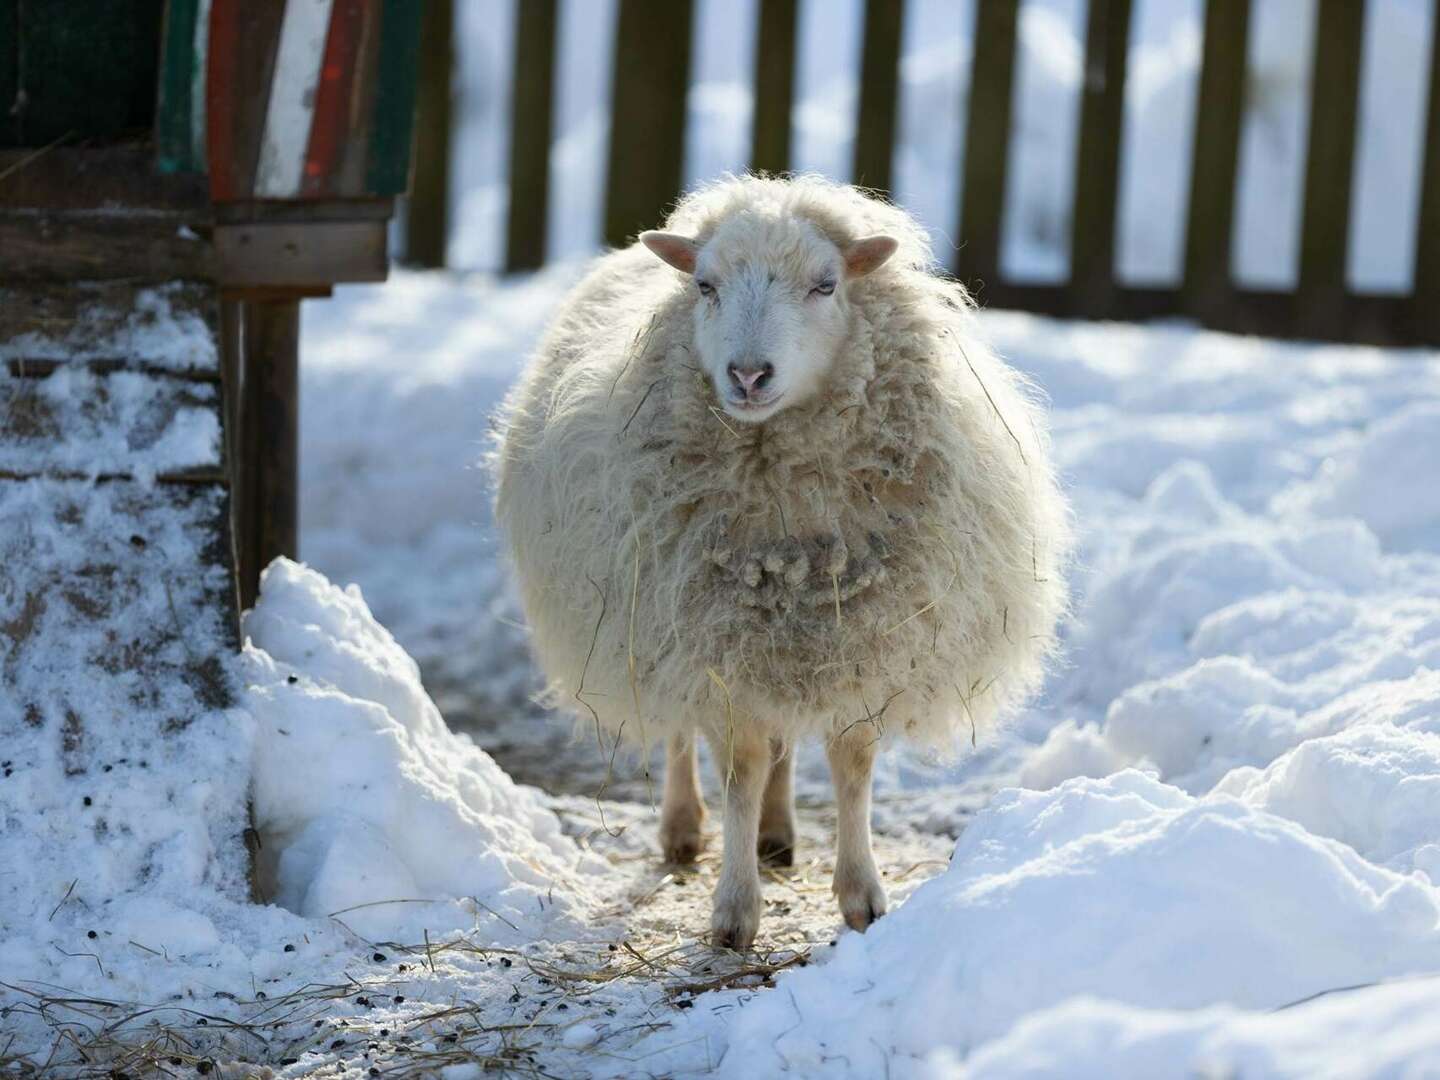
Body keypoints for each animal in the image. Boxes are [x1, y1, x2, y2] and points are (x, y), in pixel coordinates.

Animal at [495, 173, 1071, 950]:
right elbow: (738, 767)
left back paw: (777, 831)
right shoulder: (710, 639)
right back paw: (684, 827)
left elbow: (850, 765)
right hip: (661, 619)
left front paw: (861, 895)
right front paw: (735, 910)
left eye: (826, 284)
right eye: (705, 285)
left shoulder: (860, 638)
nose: (747, 374)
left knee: (782, 743)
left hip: (786, 638)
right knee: (684, 735)